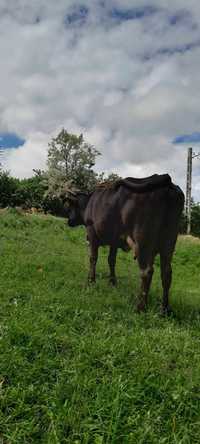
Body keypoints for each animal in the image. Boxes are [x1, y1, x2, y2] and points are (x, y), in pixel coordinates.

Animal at [64, 174, 184, 316]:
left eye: (70, 207)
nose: (69, 221)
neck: (89, 202)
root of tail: (165, 180)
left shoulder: (91, 231)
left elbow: (93, 258)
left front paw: (91, 281)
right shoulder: (114, 240)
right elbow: (111, 260)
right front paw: (112, 282)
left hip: (143, 242)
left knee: (147, 271)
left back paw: (140, 307)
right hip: (169, 242)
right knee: (166, 273)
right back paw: (164, 309)